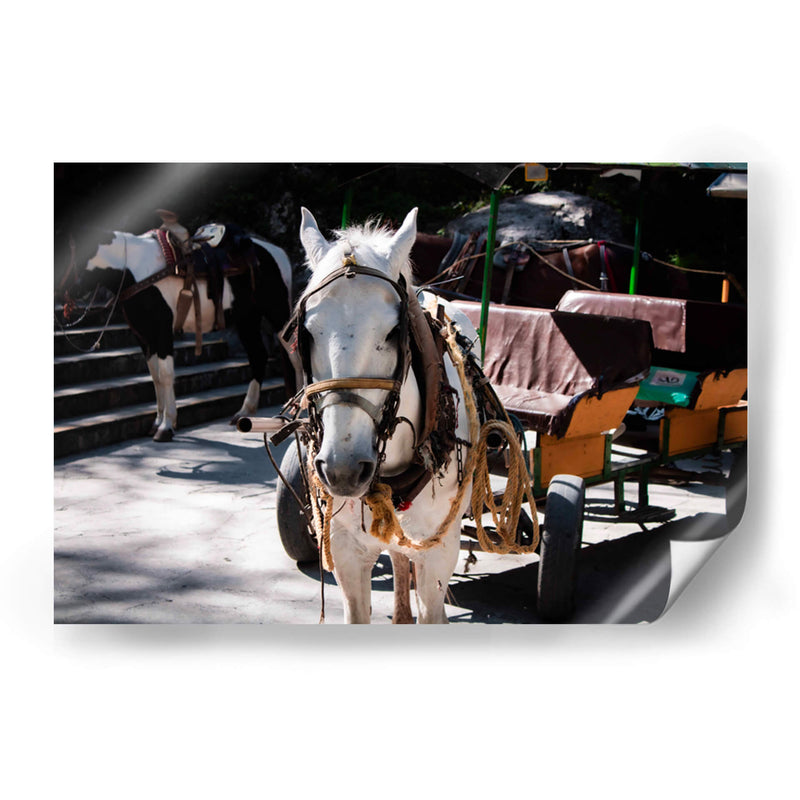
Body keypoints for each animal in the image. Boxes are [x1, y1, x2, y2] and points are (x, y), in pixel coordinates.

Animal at [63, 211, 294, 442]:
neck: (136, 270)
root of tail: (279, 252)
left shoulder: (163, 330)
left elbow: (166, 375)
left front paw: (166, 426)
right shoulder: (144, 336)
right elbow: (155, 376)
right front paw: (157, 422)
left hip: (277, 313)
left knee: (292, 353)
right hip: (247, 319)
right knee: (258, 356)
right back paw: (244, 412)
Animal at [292, 207, 482, 623]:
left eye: (395, 331)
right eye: (306, 334)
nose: (343, 469)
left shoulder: (439, 550)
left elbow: (432, 611)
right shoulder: (345, 548)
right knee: (397, 554)